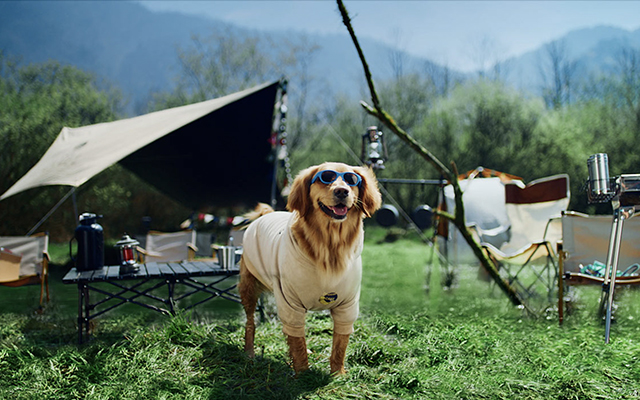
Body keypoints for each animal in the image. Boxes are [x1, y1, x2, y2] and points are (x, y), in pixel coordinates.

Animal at [239, 161, 380, 374]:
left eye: (351, 180)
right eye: (326, 178)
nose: (342, 191)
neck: (330, 246)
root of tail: (268, 214)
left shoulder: (347, 304)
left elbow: (339, 344)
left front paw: (337, 374)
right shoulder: (290, 302)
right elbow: (297, 342)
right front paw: (303, 374)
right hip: (248, 288)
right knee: (250, 323)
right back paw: (249, 354)